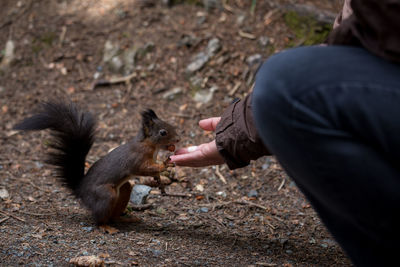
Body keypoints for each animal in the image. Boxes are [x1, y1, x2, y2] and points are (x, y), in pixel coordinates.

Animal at [14, 101, 180, 229]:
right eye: (163, 132)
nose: (178, 139)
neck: (149, 145)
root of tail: (80, 190)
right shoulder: (137, 158)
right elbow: (143, 168)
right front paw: (165, 165)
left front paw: (160, 182)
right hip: (106, 195)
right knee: (99, 219)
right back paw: (106, 227)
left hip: (123, 190)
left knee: (116, 210)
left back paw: (125, 219)